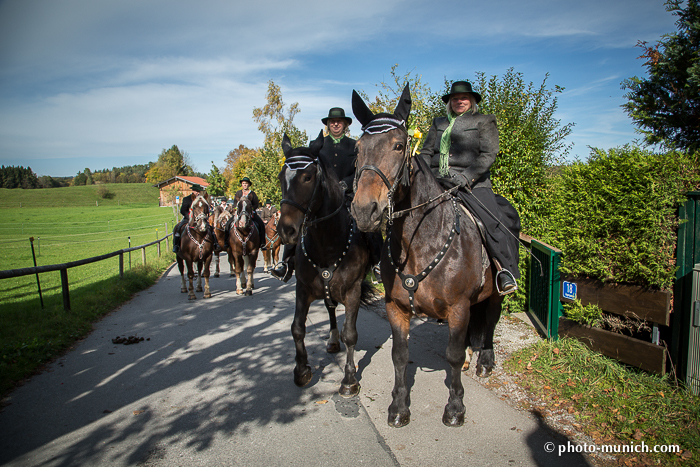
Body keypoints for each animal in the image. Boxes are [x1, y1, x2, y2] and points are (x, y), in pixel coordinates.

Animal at [278, 133, 378, 396]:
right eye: (281, 177)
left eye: (307, 177)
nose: (286, 231)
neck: (327, 242)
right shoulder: (302, 289)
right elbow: (297, 328)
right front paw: (301, 370)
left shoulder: (353, 291)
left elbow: (350, 334)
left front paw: (350, 379)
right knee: (330, 309)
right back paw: (332, 340)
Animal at [352, 85, 506, 428]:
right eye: (357, 148)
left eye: (398, 146)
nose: (364, 210)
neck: (419, 244)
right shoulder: (395, 307)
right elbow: (399, 355)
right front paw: (398, 408)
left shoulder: (459, 308)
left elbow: (453, 355)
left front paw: (455, 408)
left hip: (496, 293)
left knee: (489, 320)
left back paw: (485, 361)